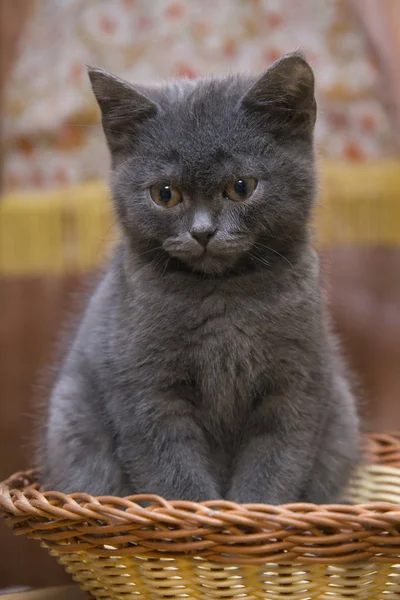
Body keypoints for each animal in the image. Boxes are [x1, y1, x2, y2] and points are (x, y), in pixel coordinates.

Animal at [41, 52, 360, 502]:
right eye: (165, 194)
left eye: (242, 187)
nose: (203, 232)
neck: (222, 295)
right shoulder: (145, 389)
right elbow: (173, 474)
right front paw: (204, 515)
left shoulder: (298, 382)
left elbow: (276, 463)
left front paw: (251, 511)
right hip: (72, 419)